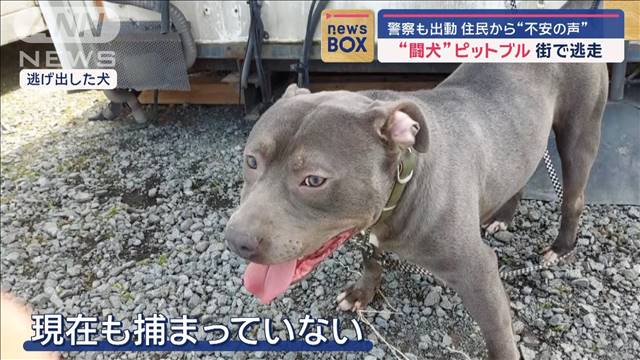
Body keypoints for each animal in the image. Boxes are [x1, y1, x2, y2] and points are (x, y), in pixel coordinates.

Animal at [226, 64, 608, 360]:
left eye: (314, 180)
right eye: (251, 161)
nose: (235, 240)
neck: (404, 182)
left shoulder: (478, 271)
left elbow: (499, 334)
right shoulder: (371, 231)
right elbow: (371, 260)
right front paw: (362, 293)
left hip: (579, 134)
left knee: (573, 197)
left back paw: (561, 247)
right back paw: (502, 216)